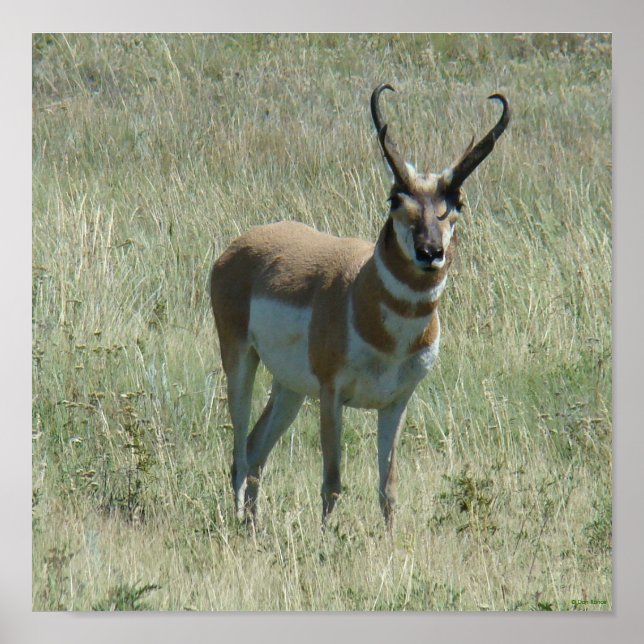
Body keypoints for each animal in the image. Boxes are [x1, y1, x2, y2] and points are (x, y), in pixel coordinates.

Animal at [210, 83, 509, 529]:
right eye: (395, 199)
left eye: (456, 201)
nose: (430, 252)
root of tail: (241, 244)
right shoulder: (332, 395)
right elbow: (332, 481)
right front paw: (326, 539)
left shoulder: (396, 402)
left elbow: (388, 488)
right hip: (241, 362)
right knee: (239, 453)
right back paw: (237, 522)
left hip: (290, 388)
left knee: (256, 447)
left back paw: (253, 526)